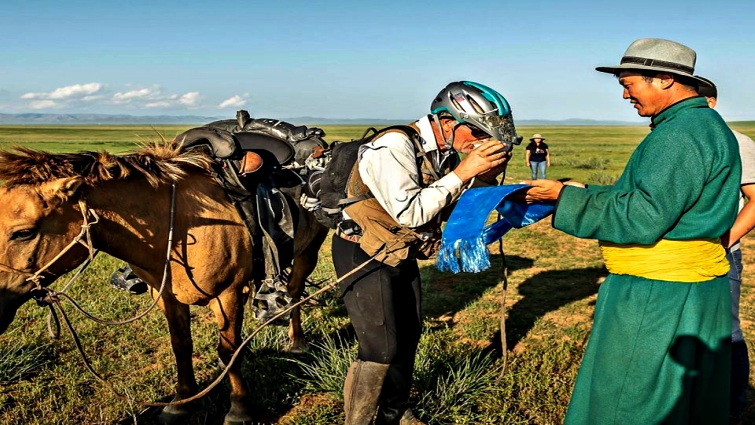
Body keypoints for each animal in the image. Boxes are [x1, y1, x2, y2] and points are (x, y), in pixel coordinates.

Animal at [0, 143, 328, 424]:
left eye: (24, 232)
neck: (178, 226)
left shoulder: (229, 294)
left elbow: (228, 351)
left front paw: (239, 411)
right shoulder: (166, 295)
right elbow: (181, 345)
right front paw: (180, 404)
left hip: (307, 253)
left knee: (295, 292)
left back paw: (296, 342)